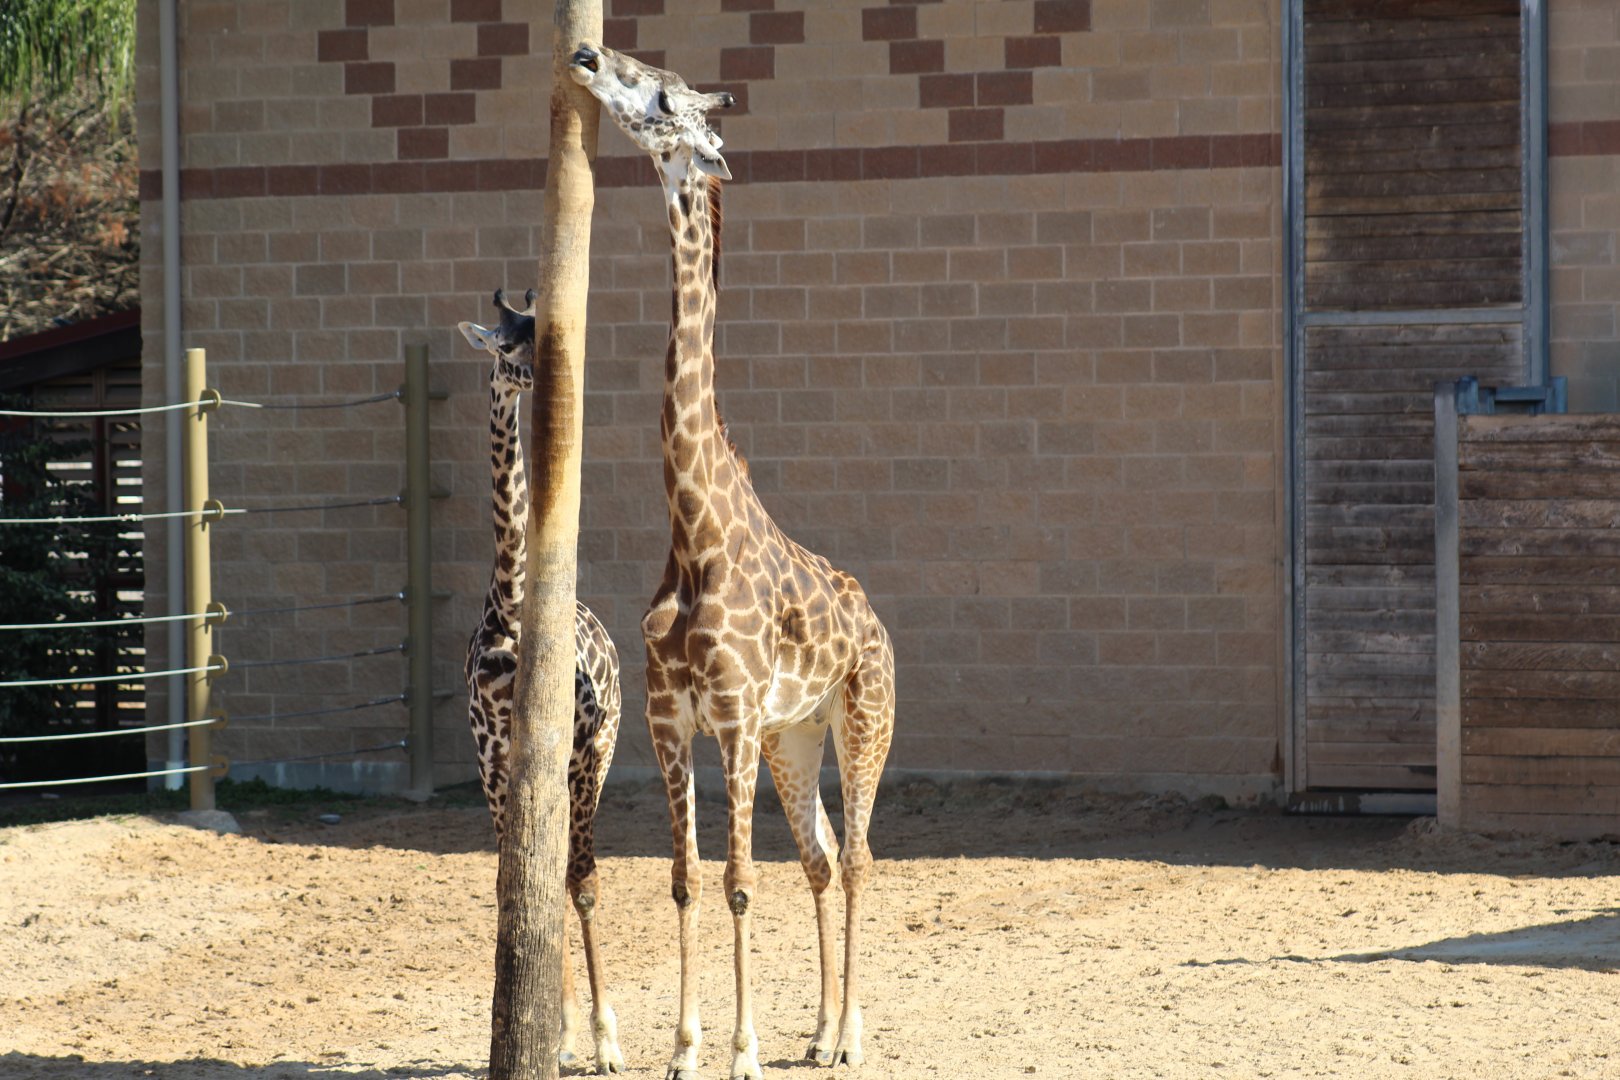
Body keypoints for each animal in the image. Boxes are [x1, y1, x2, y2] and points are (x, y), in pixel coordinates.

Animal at [569, 44, 896, 1080]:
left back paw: (850, 1036)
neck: (694, 529)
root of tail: (876, 622)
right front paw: (684, 1045)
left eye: (663, 96)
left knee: (860, 855)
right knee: (822, 856)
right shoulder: (672, 715)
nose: (586, 54)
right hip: (799, 738)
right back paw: (824, 1031)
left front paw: (742, 1051)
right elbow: (683, 878)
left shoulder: (737, 715)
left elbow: (740, 880)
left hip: (861, 718)